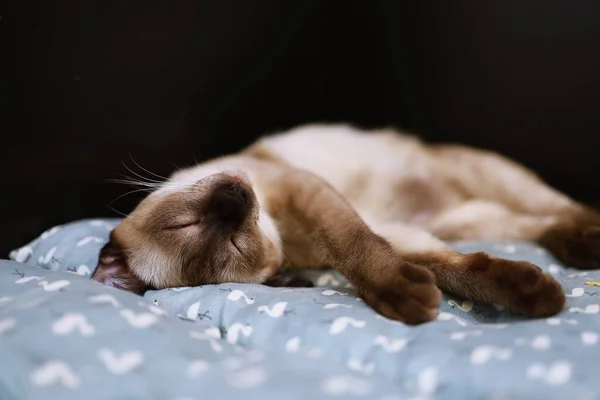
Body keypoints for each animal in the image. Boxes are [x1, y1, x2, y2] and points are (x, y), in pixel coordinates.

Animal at [90, 124, 600, 324]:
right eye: (236, 243)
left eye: (181, 224)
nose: (234, 201)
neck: (279, 226)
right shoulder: (405, 241)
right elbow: (455, 271)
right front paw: (534, 296)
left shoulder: (305, 190)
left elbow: (351, 244)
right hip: (471, 219)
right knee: (541, 225)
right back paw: (575, 255)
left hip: (494, 179)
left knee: (568, 206)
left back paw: (587, 241)